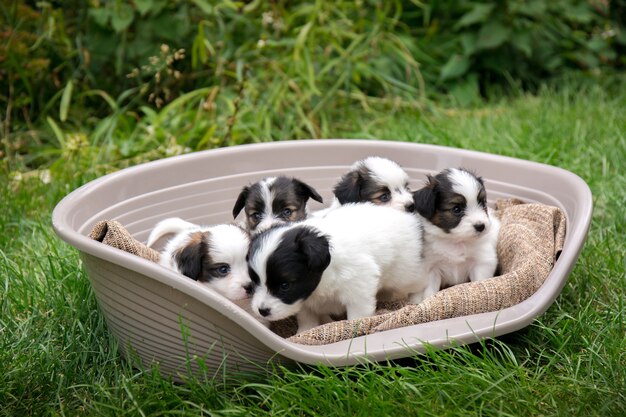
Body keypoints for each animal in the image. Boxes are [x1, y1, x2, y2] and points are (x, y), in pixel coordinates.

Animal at [246, 202, 432, 332]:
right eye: (255, 282)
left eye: (285, 286)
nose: (262, 311)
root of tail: (409, 219)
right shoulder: (304, 301)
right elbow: (307, 318)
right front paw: (304, 332)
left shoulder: (359, 287)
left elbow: (357, 317)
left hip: (405, 271)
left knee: (419, 280)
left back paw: (418, 299)